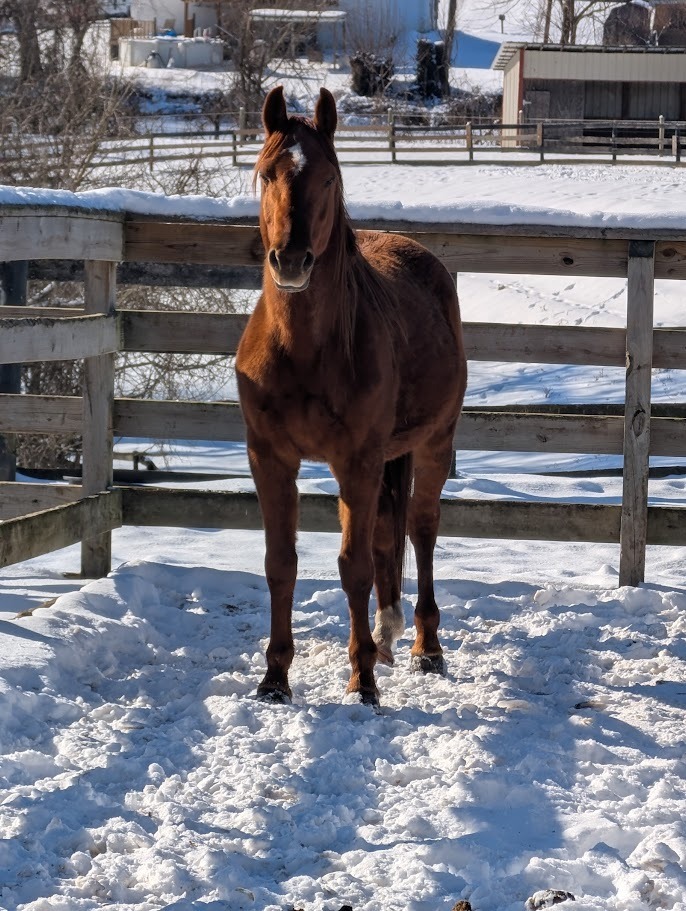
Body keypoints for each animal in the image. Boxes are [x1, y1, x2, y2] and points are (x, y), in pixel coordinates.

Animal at [236, 86, 467, 707]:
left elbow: (354, 566)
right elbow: (281, 563)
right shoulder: (270, 458)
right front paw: (275, 678)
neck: (305, 352)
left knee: (420, 529)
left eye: (328, 177)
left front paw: (362, 681)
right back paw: (385, 640)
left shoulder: (358, 460)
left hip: (433, 443)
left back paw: (423, 647)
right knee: (389, 534)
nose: (291, 260)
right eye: (265, 172)